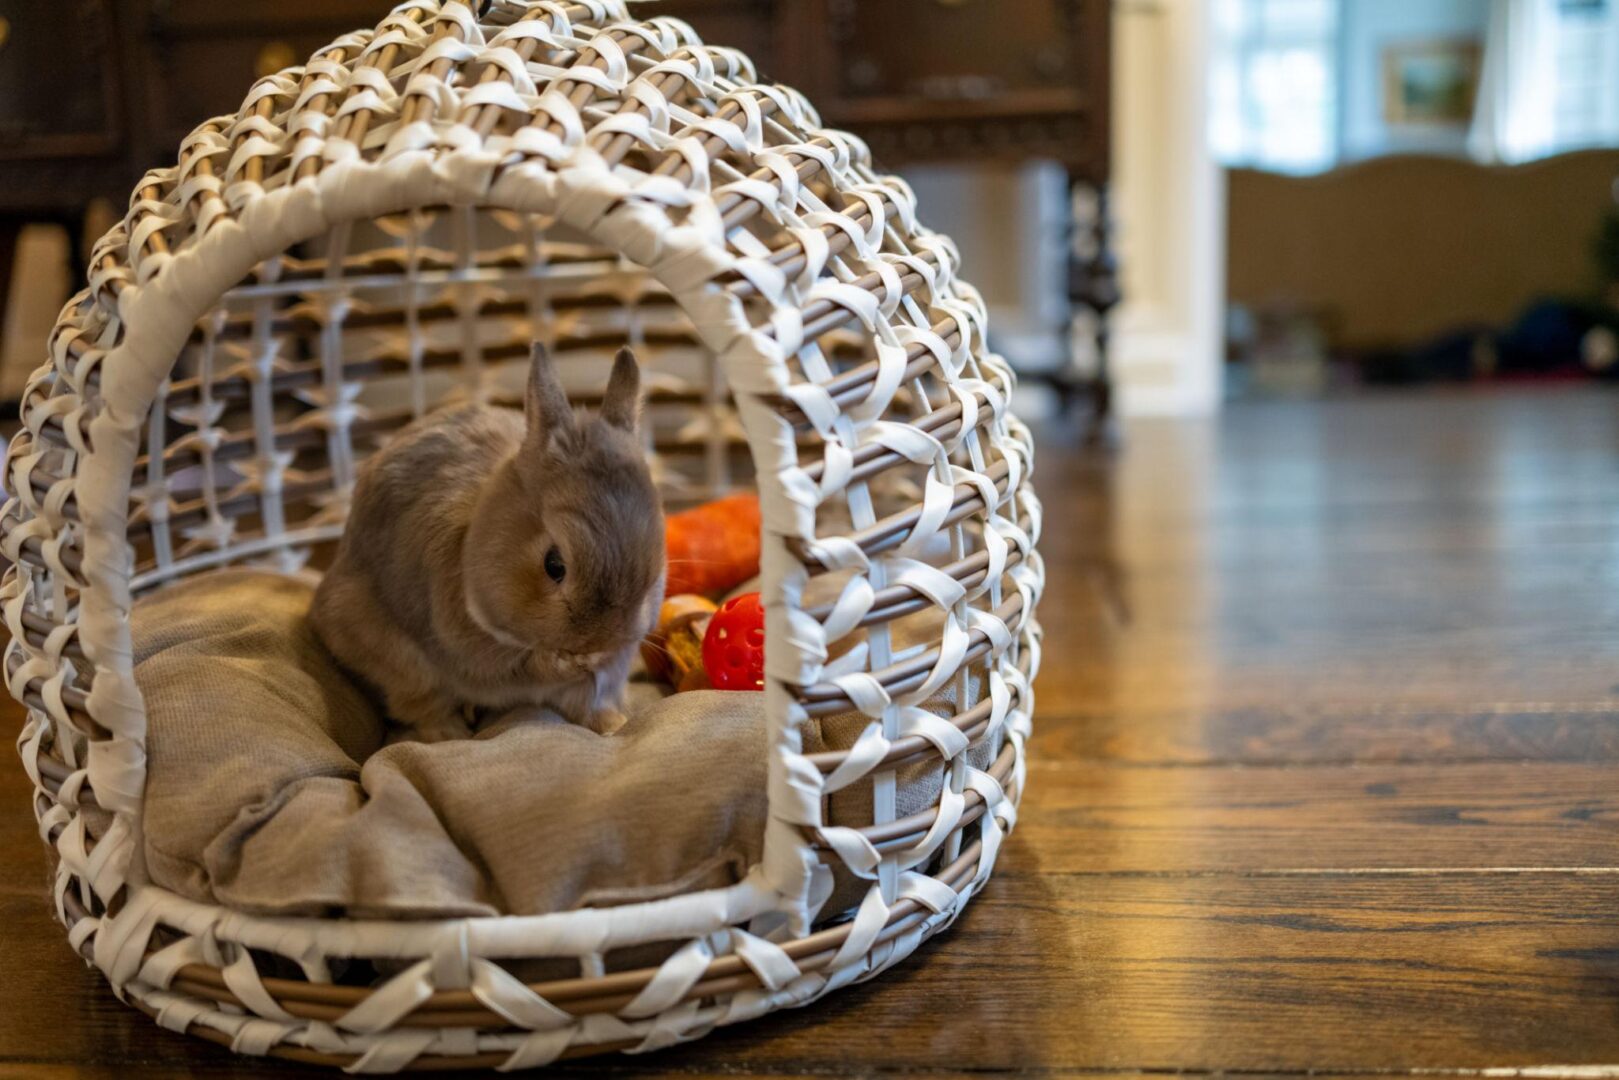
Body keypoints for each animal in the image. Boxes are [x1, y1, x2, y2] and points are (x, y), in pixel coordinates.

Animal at [310, 343, 666, 743]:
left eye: (653, 569)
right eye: (554, 565)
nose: (598, 641)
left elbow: (592, 698)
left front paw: (611, 720)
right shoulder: (474, 644)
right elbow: (525, 666)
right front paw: (570, 662)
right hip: (395, 662)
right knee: (422, 705)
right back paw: (451, 733)